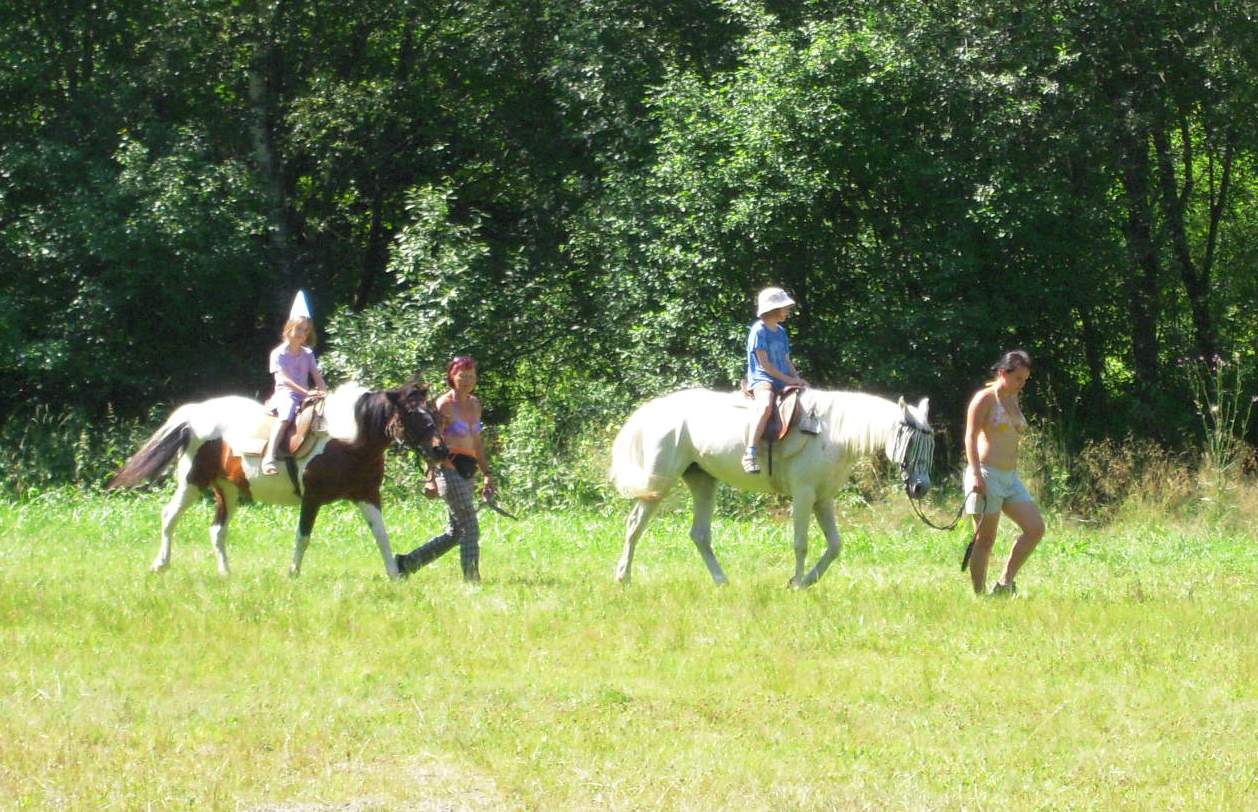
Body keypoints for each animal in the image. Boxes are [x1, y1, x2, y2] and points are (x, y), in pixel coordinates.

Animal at [107, 379, 448, 579]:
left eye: (432, 411)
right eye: (412, 414)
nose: (440, 449)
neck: (347, 440)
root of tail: (194, 417)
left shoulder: (367, 495)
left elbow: (381, 535)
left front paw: (395, 573)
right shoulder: (312, 499)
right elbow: (303, 536)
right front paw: (293, 573)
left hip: (227, 491)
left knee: (217, 530)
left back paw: (225, 573)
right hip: (192, 482)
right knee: (169, 516)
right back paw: (161, 564)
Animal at [608, 388, 935, 588]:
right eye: (911, 442)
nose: (921, 487)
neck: (833, 434)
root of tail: (656, 410)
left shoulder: (823, 499)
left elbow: (835, 545)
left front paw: (807, 581)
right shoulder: (804, 495)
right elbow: (801, 543)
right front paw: (797, 583)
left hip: (702, 481)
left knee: (699, 535)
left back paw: (722, 581)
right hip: (658, 484)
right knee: (634, 526)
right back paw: (623, 578)